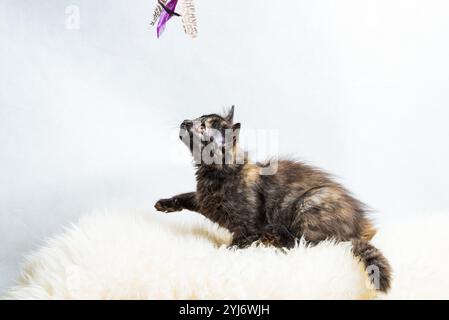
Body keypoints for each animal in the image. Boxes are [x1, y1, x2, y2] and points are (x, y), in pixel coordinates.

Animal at [155, 106, 392, 292]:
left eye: (202, 127)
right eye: (196, 118)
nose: (185, 121)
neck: (215, 174)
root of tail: (360, 227)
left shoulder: (247, 228)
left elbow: (236, 246)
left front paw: (222, 253)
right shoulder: (205, 201)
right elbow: (185, 196)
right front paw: (164, 204)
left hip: (309, 202)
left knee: (302, 243)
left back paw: (274, 234)